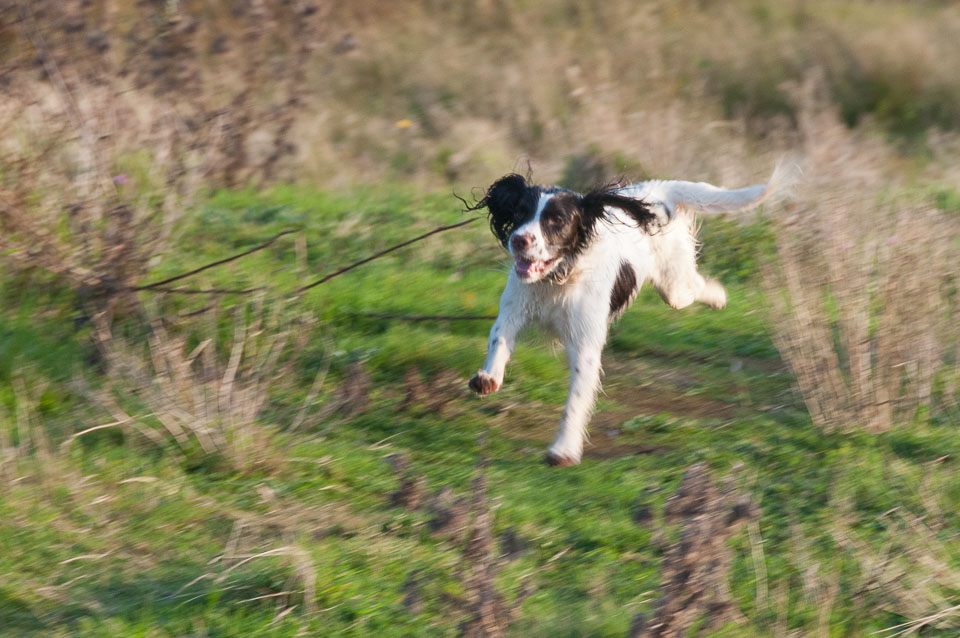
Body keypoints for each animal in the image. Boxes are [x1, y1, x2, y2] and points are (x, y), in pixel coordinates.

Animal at [468, 168, 784, 468]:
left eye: (556, 220)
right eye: (520, 212)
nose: (519, 240)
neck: (560, 277)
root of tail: (656, 188)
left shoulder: (585, 346)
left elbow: (576, 401)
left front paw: (563, 450)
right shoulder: (515, 308)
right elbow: (499, 337)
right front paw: (487, 378)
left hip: (673, 286)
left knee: (692, 285)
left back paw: (719, 296)